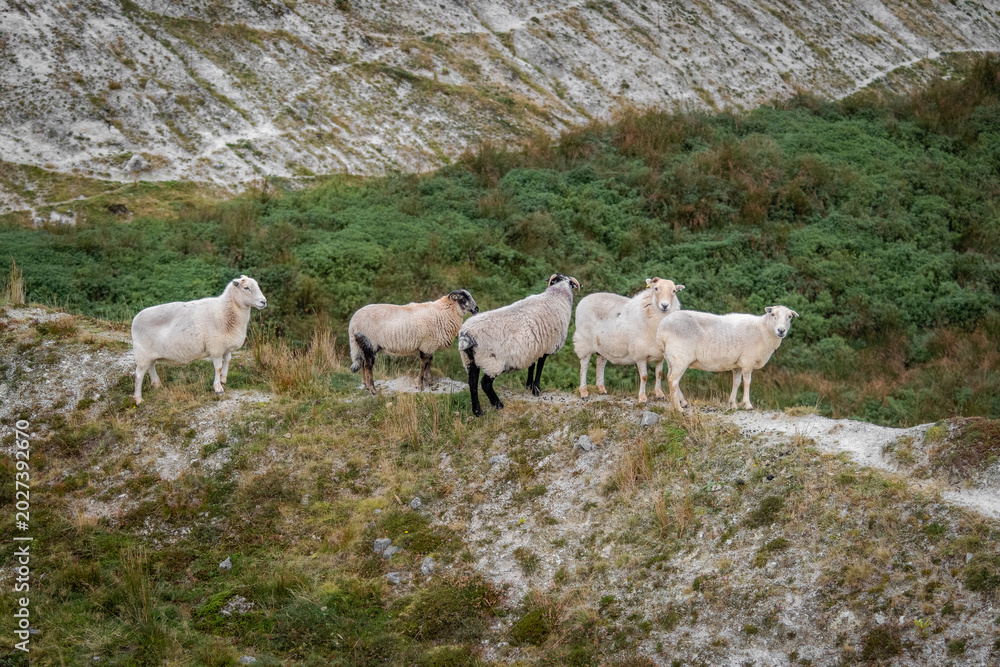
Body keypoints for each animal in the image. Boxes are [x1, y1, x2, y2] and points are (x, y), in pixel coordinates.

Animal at [131, 275, 267, 405]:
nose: (264, 301)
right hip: (142, 353)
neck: (225, 310)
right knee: (138, 375)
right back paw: (138, 399)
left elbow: (228, 360)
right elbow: (218, 367)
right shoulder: (216, 347)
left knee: (151, 367)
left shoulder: (226, 345)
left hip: (150, 354)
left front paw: (223, 379)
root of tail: (135, 320)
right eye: (246, 288)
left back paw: (157, 385)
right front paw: (218, 388)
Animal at [348, 290, 478, 393]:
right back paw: (373, 389)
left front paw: (429, 382)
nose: (476, 309)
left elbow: (429, 362)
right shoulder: (427, 345)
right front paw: (420, 385)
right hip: (371, 343)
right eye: (463, 298)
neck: (444, 312)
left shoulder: (429, 345)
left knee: (364, 363)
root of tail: (353, 322)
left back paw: (365, 385)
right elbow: (423, 364)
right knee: (369, 365)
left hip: (362, 345)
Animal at [458, 274, 580, 416]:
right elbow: (540, 367)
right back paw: (498, 405)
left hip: (469, 360)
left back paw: (478, 412)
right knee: (485, 383)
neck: (557, 294)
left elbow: (532, 366)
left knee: (472, 383)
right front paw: (537, 389)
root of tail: (467, 335)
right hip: (492, 361)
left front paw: (529, 386)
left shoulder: (533, 347)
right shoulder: (546, 347)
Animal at [656, 305, 799, 412]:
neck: (762, 331)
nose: (781, 330)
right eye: (773, 314)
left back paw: (682, 403)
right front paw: (747, 404)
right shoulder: (748, 361)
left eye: (790, 316)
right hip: (680, 357)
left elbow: (736, 383)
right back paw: (678, 408)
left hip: (671, 358)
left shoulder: (738, 365)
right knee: (673, 380)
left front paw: (732, 404)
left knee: (671, 378)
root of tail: (661, 328)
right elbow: (747, 382)